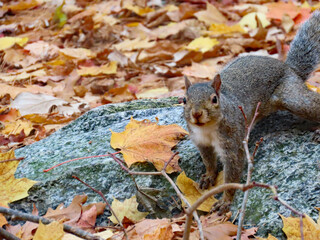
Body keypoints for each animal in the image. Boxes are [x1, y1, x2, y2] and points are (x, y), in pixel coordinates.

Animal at [184, 10, 320, 215]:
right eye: (184, 100)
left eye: (214, 99)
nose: (197, 114)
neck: (207, 129)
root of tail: (290, 69)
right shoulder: (201, 143)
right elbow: (209, 162)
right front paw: (208, 176)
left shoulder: (232, 143)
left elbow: (232, 174)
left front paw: (225, 202)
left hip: (293, 97)